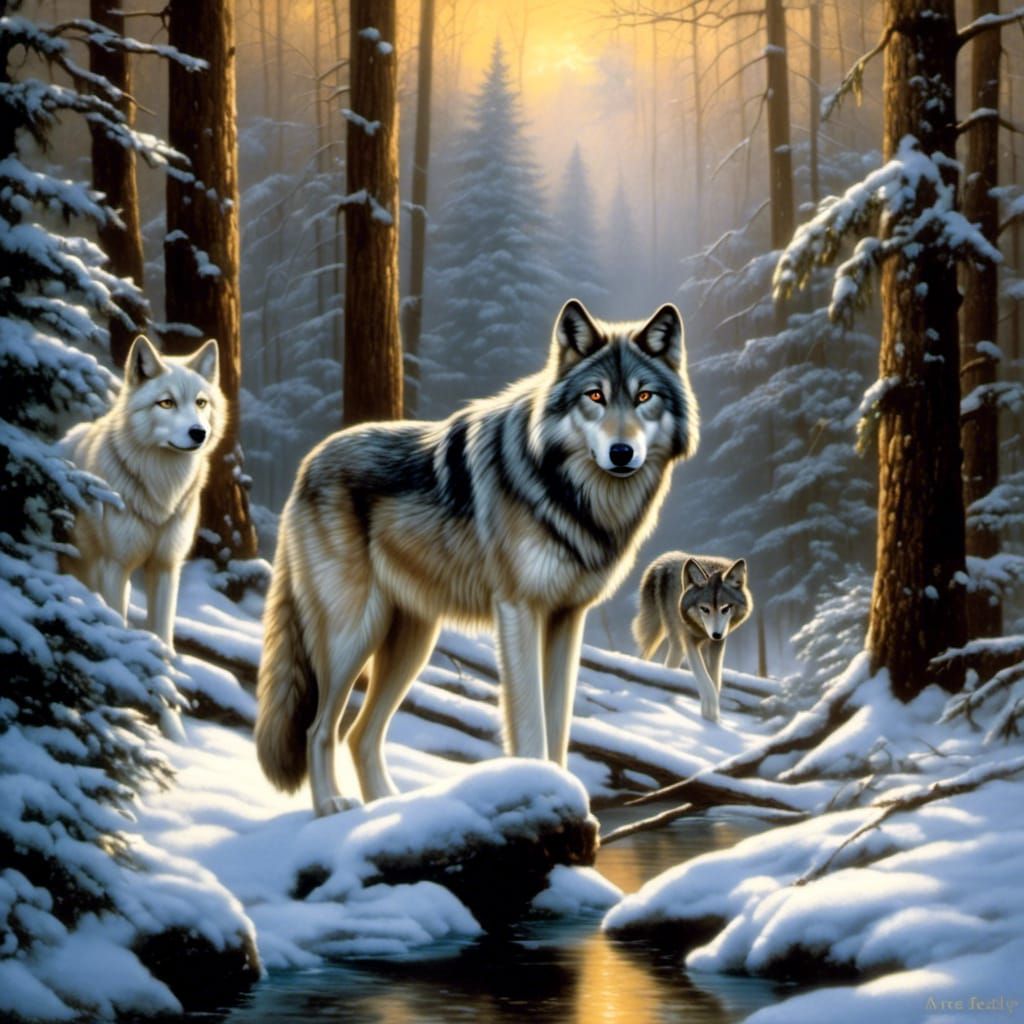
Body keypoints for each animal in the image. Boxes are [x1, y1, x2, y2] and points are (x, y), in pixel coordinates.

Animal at [59, 335, 223, 653]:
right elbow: (115, 620)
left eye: (201, 402)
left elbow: (163, 631)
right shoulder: (114, 566)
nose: (199, 433)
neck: (162, 489)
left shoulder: (166, 567)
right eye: (167, 403)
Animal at [256, 299, 699, 816]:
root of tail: (307, 464)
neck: (573, 494)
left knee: (360, 732)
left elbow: (559, 725)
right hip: (353, 635)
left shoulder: (567, 619)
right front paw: (541, 790)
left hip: (411, 640)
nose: (622, 452)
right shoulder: (519, 611)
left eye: (644, 397)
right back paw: (332, 806)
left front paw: (565, 792)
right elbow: (529, 723)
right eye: (595, 396)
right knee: (319, 728)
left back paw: (391, 806)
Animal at [632, 553, 752, 722]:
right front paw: (710, 714)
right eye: (704, 609)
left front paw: (713, 718)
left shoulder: (718, 644)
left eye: (725, 608)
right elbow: (705, 680)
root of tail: (667, 558)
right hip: (670, 641)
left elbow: (714, 681)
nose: (716, 634)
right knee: (649, 660)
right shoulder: (689, 642)